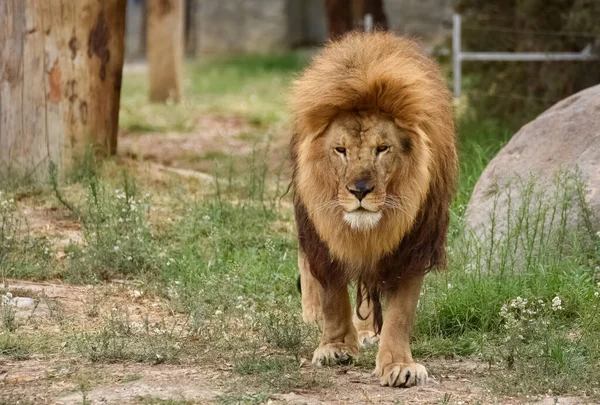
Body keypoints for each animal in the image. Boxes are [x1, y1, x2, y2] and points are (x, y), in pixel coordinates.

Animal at [288, 30, 458, 386]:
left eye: (382, 149)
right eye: (340, 150)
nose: (360, 190)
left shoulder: (414, 244)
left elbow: (400, 312)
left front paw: (398, 365)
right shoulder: (322, 233)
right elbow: (332, 296)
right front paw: (335, 347)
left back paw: (368, 331)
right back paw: (312, 313)